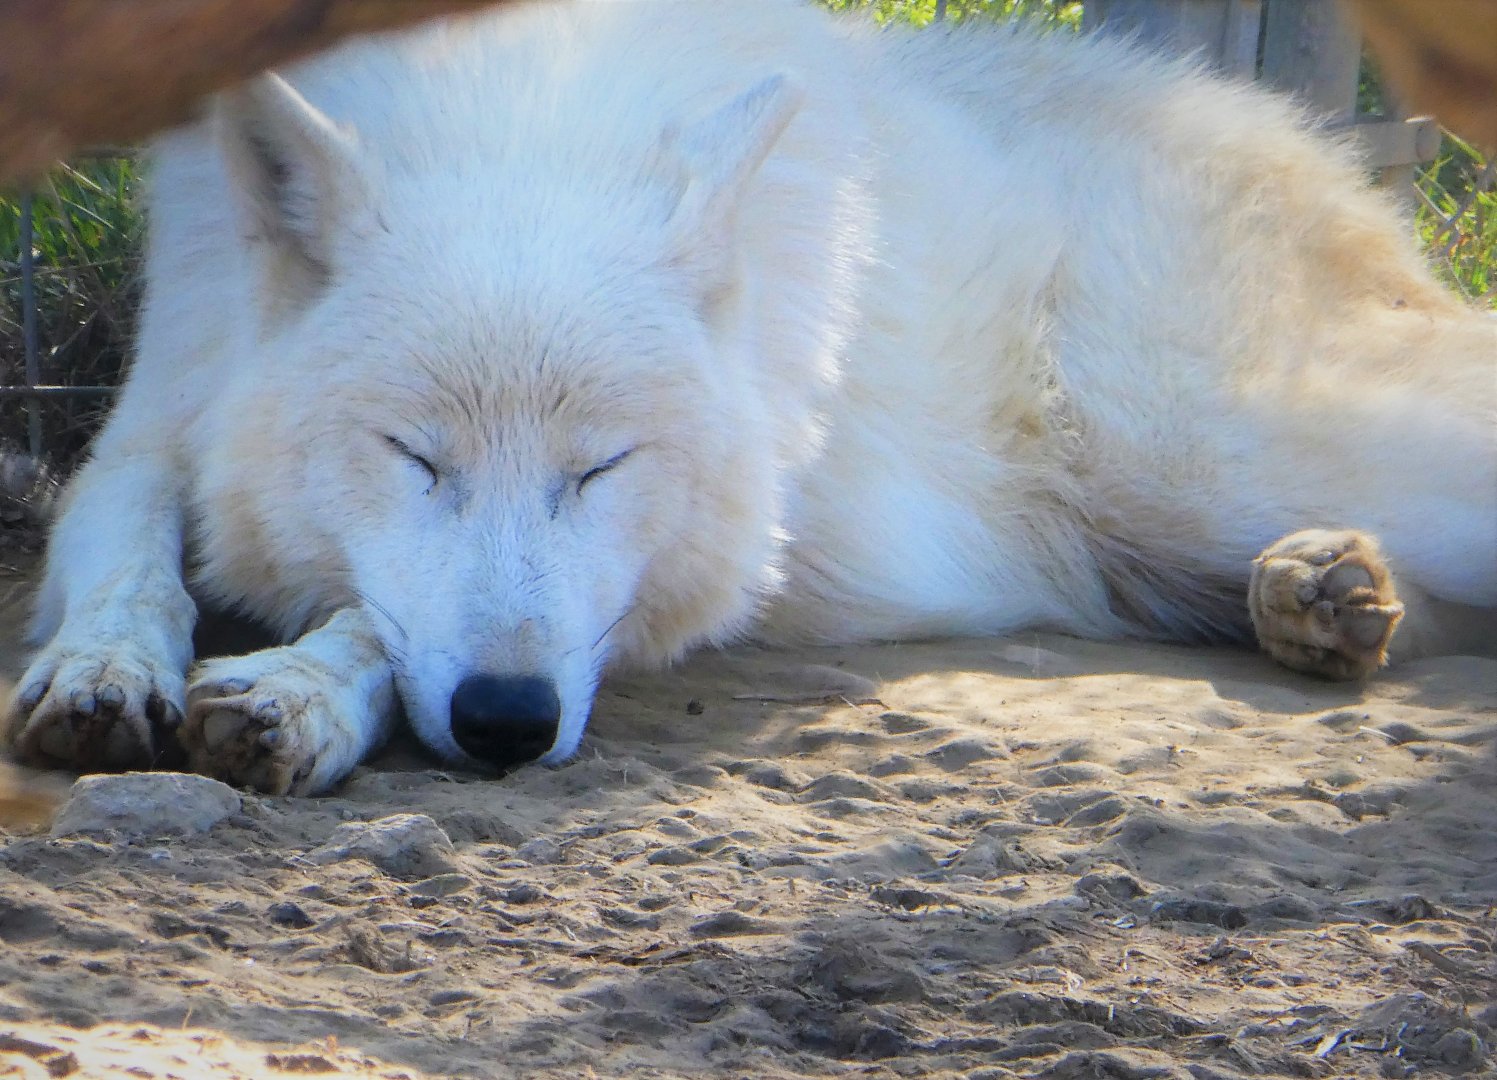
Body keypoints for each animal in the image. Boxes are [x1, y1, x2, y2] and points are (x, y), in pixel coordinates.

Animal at [6, 0, 1494, 795]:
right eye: (414, 457)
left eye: (600, 468)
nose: (507, 726)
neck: (522, 113)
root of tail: (1328, 156)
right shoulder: (164, 397)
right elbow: (127, 545)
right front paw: (102, 669)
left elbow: (387, 620)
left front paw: (298, 693)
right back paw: (1318, 594)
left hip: (1209, 453)